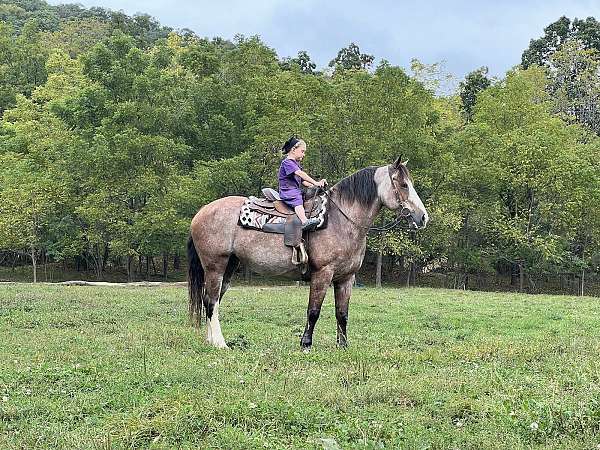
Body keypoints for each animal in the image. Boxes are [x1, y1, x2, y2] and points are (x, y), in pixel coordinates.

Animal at [186, 156, 426, 350]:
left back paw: (210, 340)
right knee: (211, 301)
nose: (423, 217)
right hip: (215, 266)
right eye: (403, 184)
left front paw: (343, 346)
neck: (341, 220)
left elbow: (342, 313)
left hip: (229, 266)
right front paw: (306, 344)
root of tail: (200, 213)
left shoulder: (346, 278)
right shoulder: (322, 274)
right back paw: (220, 343)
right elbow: (314, 311)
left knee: (212, 301)